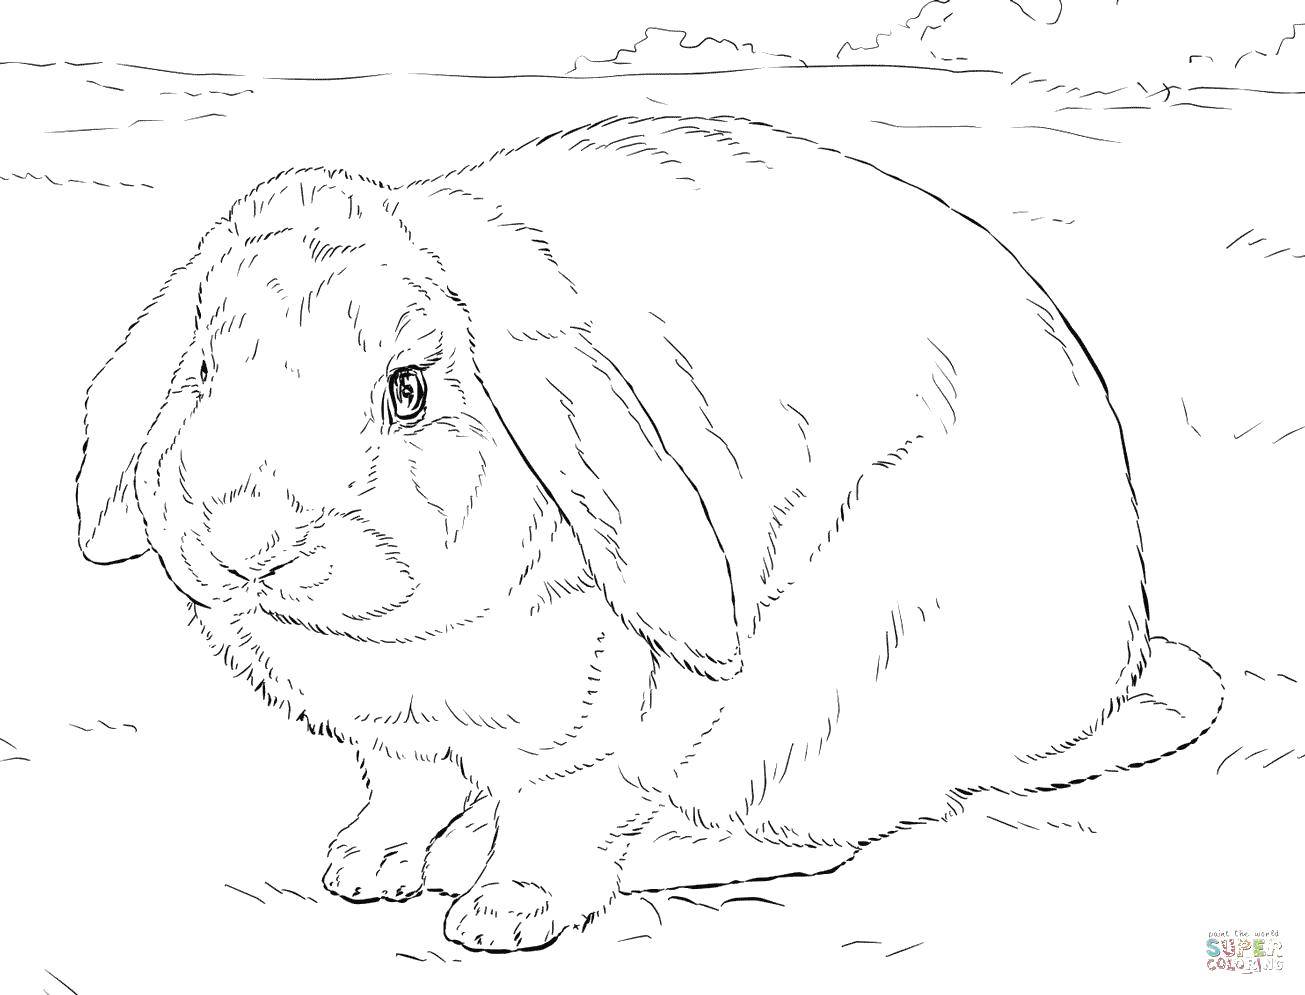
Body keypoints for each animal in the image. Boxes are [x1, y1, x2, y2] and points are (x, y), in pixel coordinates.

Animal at [76, 114, 1223, 952]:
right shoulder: (393, 736)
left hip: (831, 686)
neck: (401, 642)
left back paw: (630, 855)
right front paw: (362, 867)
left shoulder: (596, 732)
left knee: (813, 830)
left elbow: (557, 813)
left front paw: (503, 912)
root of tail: (1094, 695)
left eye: (409, 389)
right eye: (202, 369)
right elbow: (397, 782)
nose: (245, 539)